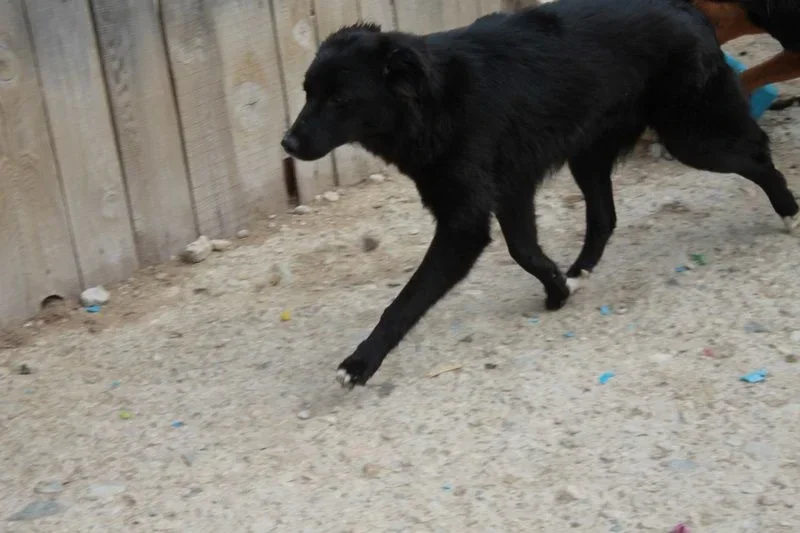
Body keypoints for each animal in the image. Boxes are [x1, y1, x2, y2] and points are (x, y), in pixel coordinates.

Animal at [282, 0, 799, 388]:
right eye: (307, 92)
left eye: (339, 99)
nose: (286, 144)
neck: (434, 100)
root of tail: (685, 7)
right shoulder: (511, 190)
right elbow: (524, 250)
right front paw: (556, 289)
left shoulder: (465, 224)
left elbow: (406, 300)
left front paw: (361, 362)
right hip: (589, 155)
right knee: (605, 218)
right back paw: (580, 271)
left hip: (691, 137)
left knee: (758, 154)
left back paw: (788, 210)